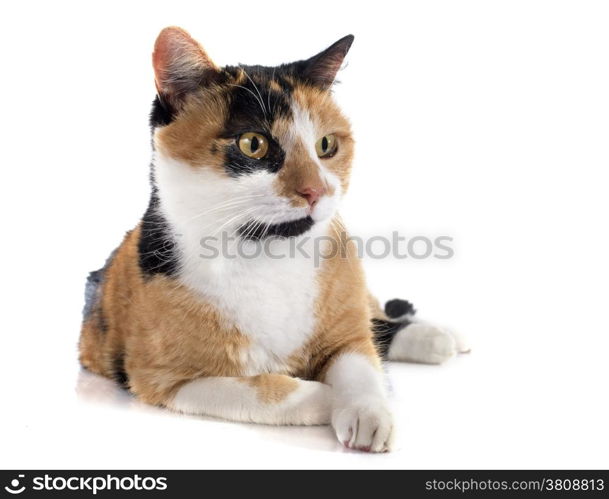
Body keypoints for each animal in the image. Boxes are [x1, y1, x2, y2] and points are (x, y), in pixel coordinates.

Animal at [79, 29, 470, 456]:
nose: (317, 190)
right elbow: (257, 391)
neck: (266, 255)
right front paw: (324, 397)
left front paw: (367, 412)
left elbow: (361, 363)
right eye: (253, 144)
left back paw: (440, 335)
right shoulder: (165, 380)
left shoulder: (346, 332)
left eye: (326, 145)